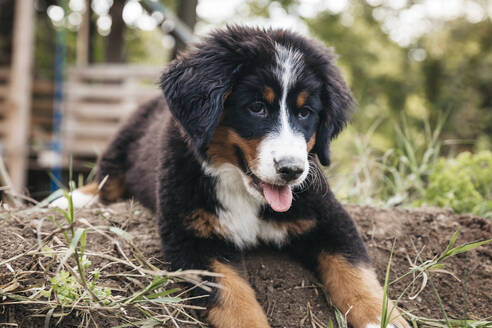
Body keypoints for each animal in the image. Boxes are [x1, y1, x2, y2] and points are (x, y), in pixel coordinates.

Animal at [53, 26, 410, 328]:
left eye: (305, 113)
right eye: (256, 107)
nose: (292, 170)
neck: (240, 187)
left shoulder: (328, 219)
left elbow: (356, 274)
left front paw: (384, 320)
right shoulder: (194, 239)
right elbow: (234, 299)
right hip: (124, 136)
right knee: (107, 178)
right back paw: (72, 200)